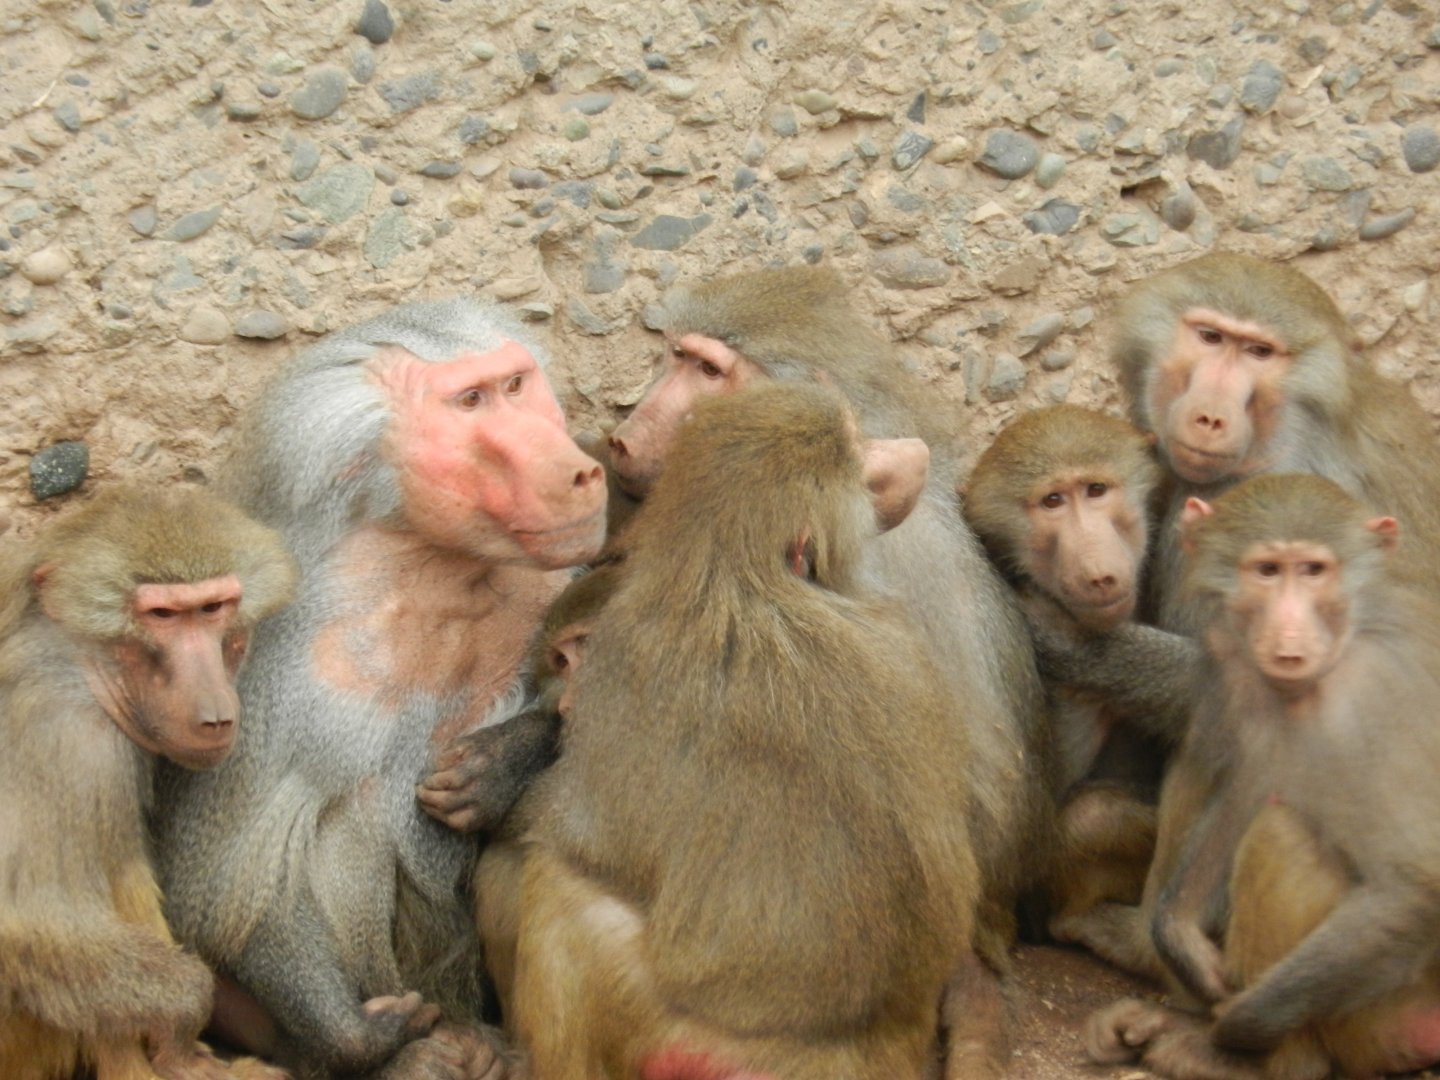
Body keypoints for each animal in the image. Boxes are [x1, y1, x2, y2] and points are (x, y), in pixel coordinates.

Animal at [0, 485, 297, 1080]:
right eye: (162, 614)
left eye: (212, 609)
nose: (215, 713)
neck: (79, 660)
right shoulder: (66, 741)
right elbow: (29, 923)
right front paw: (185, 1029)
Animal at [151, 298, 608, 1079]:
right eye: (470, 401)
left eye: (516, 385)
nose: (580, 471)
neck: (441, 569)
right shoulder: (292, 651)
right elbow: (244, 878)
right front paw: (362, 1038)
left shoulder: (557, 583)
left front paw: (499, 764)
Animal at [489, 381, 979, 1080]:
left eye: (579, 659)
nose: (567, 700)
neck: (734, 574)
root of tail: (870, 1047)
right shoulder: (897, 632)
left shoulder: (626, 655)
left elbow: (576, 834)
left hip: (683, 1031)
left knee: (567, 903)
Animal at [1087, 474, 1440, 1080]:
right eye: (1268, 571)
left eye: (1315, 570)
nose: (1289, 634)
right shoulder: (1241, 670)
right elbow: (1251, 784)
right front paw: (1178, 934)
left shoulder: (1377, 698)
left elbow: (1414, 884)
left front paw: (1236, 1024)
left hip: (1379, 1017)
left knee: (1283, 835)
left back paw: (1251, 1059)